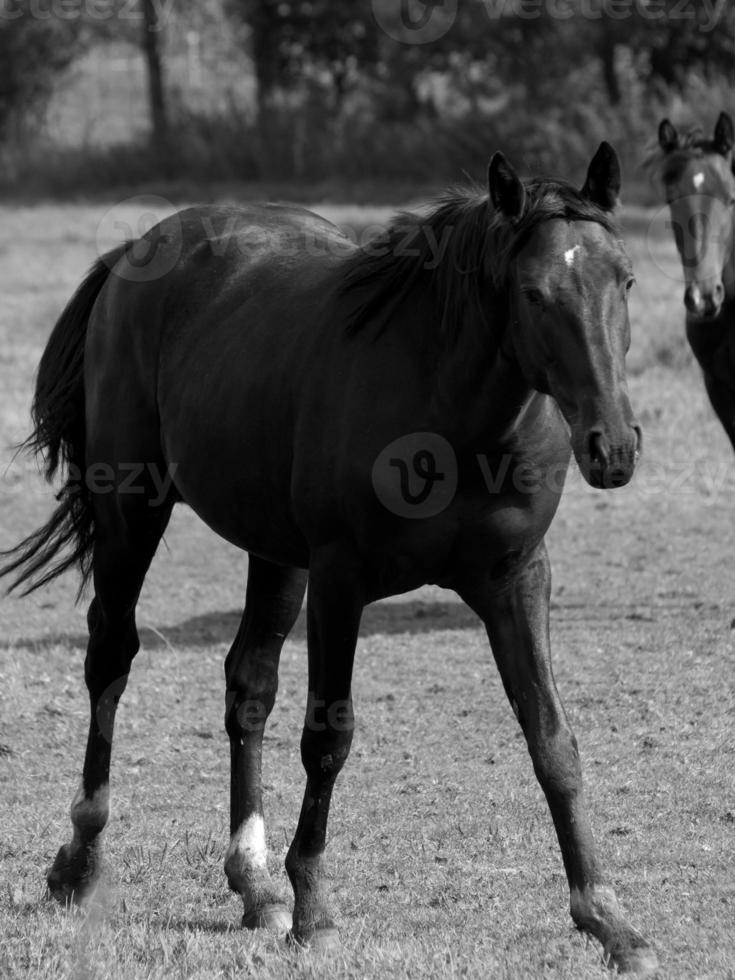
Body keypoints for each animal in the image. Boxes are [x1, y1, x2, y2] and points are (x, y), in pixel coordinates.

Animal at [0, 144, 656, 972]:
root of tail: (137, 249)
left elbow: (552, 739)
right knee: (111, 657)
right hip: (132, 512)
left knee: (247, 683)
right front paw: (316, 907)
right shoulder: (342, 582)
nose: (613, 447)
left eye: (623, 280)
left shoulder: (516, 580)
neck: (452, 416)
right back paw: (81, 860)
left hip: (275, 554)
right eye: (534, 292)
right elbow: (328, 736)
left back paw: (253, 885)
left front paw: (609, 919)